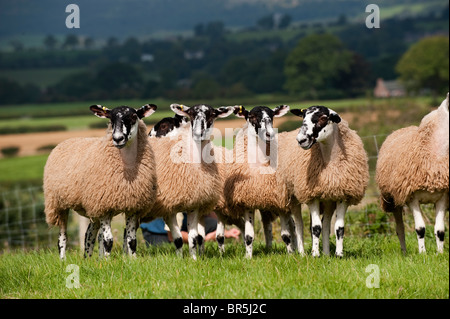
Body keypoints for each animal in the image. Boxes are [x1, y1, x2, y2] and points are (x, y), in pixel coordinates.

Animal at [43, 105, 156, 260]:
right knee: (62, 237)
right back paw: (63, 260)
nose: (118, 139)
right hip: (58, 204)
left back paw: (90, 259)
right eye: (110, 119)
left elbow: (131, 240)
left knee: (90, 234)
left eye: (134, 117)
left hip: (92, 207)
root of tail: (65, 141)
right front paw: (108, 262)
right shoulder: (103, 205)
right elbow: (108, 241)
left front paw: (133, 260)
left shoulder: (132, 206)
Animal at [141, 104, 234, 260]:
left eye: (164, 125)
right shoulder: (169, 206)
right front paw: (180, 260)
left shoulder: (195, 204)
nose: (148, 137)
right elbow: (179, 239)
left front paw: (194, 259)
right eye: (191, 115)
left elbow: (193, 237)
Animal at [221, 105, 292, 260]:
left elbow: (286, 235)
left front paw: (292, 255)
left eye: (272, 116)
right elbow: (248, 236)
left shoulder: (280, 201)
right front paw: (248, 258)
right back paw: (269, 248)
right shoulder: (248, 201)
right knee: (267, 226)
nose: (269, 134)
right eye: (252, 117)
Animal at [278, 106, 370, 258]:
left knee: (326, 224)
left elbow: (339, 228)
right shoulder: (312, 196)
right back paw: (302, 253)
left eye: (323, 118)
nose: (301, 140)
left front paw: (339, 254)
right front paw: (315, 254)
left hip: (328, 200)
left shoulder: (343, 195)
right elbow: (315, 227)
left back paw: (326, 253)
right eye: (303, 117)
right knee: (299, 224)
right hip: (293, 196)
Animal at [378, 94, 448, 254]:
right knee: (400, 228)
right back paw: (404, 253)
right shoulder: (411, 197)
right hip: (393, 199)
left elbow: (440, 230)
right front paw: (423, 253)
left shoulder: (443, 196)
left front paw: (440, 253)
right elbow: (420, 228)